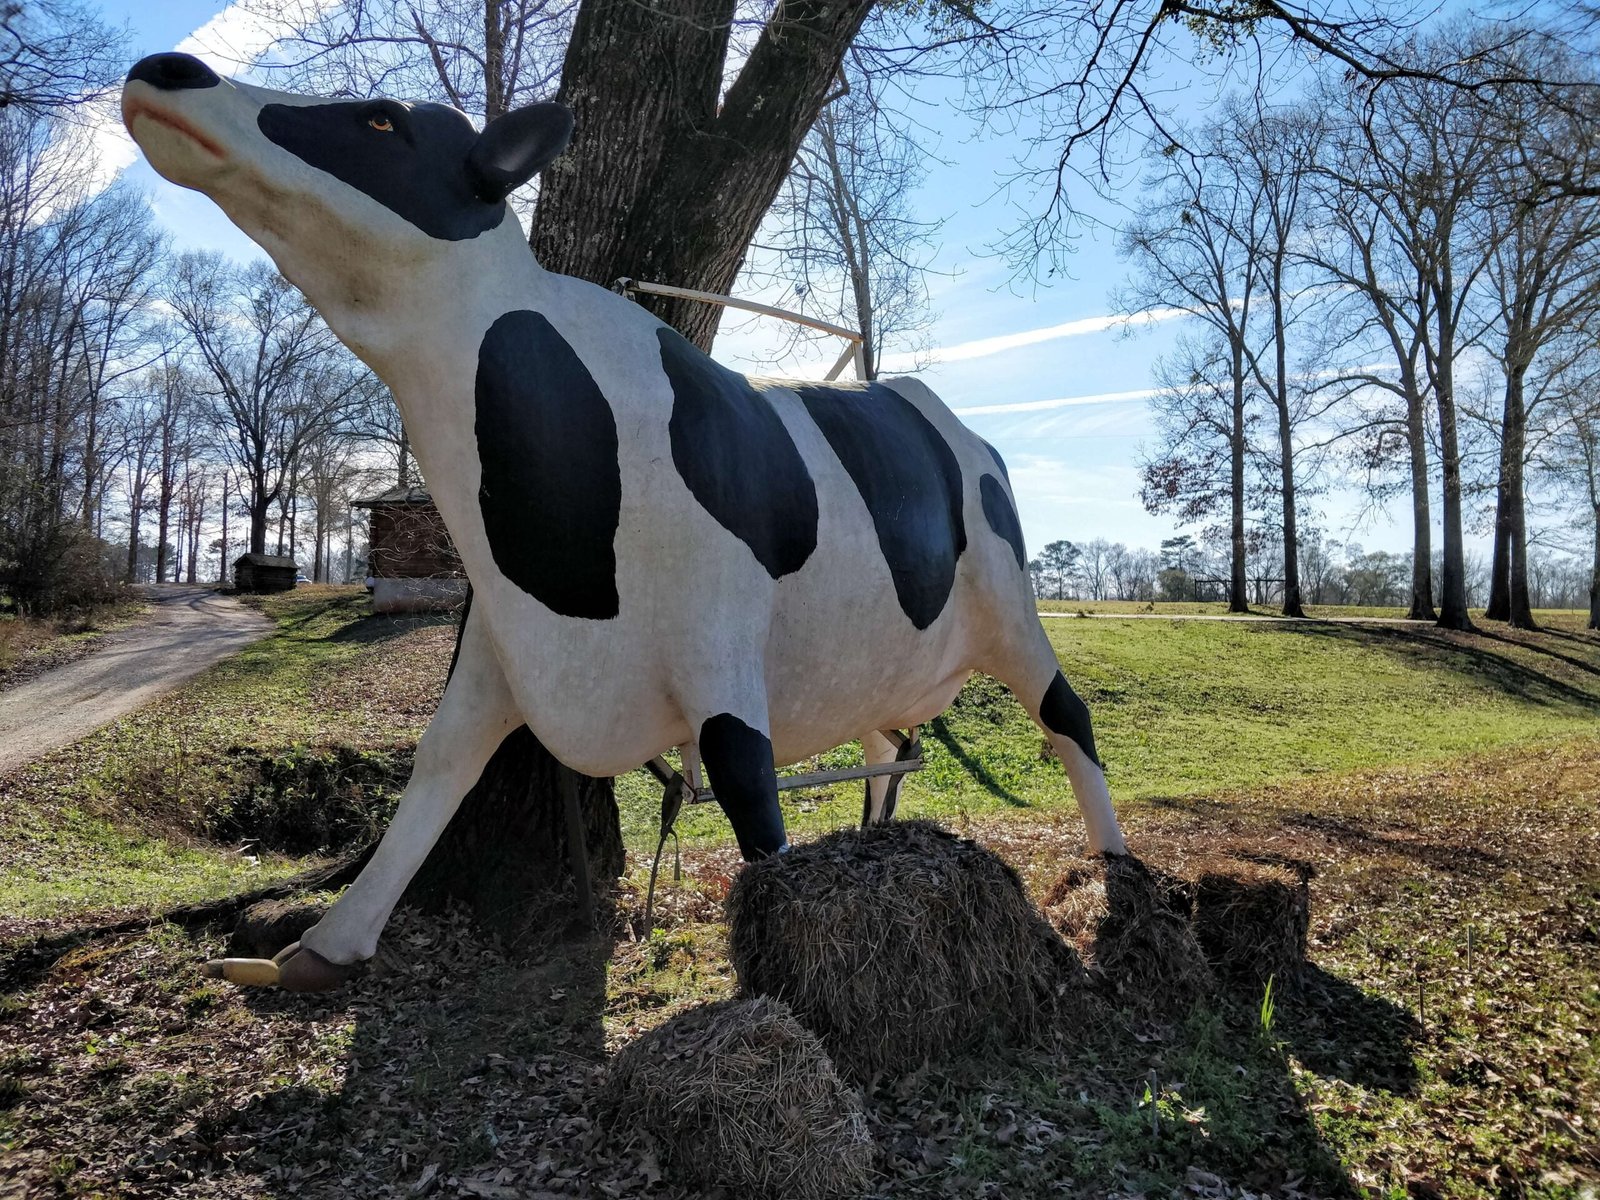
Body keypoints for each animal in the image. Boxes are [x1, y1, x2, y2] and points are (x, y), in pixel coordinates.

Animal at [121, 52, 1130, 992]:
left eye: (380, 120)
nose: (167, 68)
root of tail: (942, 411)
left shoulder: (718, 635)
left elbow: (748, 786)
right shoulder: (499, 635)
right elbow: (439, 765)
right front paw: (328, 944)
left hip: (1009, 602)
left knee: (1066, 715)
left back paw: (1115, 863)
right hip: (876, 655)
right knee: (887, 743)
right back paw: (880, 840)